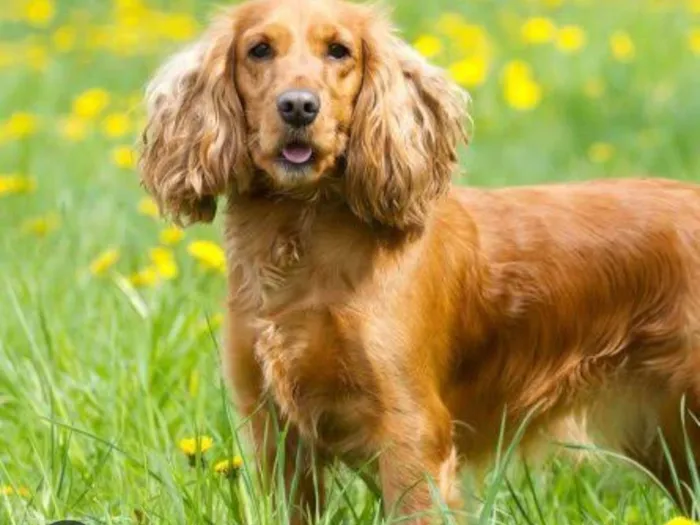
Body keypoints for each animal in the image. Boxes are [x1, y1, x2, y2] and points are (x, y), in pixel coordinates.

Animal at [139, 0, 700, 520]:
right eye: (259, 49)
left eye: (338, 50)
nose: (298, 106)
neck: (303, 239)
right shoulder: (276, 434)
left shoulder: (411, 431)